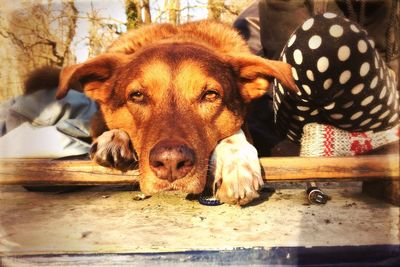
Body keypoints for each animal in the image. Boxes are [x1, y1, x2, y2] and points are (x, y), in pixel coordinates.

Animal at [57, 20, 296, 205]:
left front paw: (235, 165)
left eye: (210, 95)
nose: (171, 163)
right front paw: (113, 137)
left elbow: (234, 134)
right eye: (137, 96)